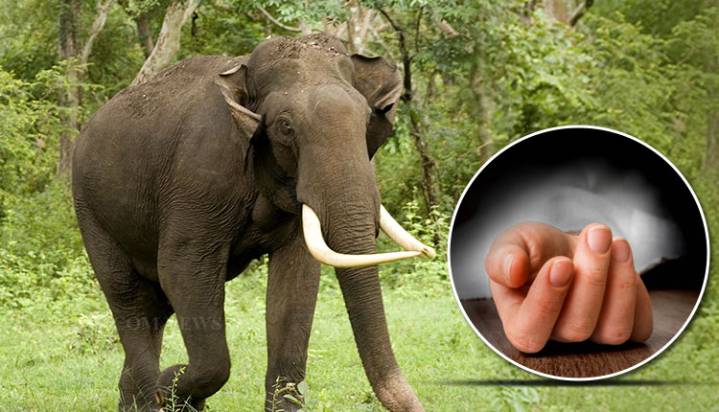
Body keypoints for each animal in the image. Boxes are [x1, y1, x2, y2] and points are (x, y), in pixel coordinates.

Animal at [72, 33, 435, 411]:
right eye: (285, 127)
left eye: (366, 119)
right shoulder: (197, 179)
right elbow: (183, 268)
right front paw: (170, 385)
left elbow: (296, 280)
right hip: (90, 210)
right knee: (129, 297)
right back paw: (152, 394)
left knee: (155, 307)